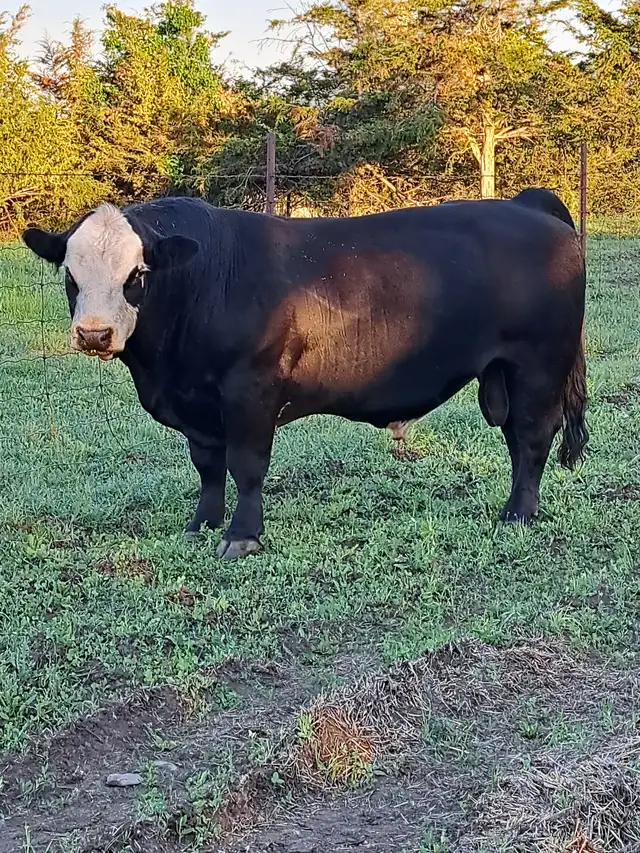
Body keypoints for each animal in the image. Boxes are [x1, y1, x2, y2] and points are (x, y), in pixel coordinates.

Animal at [22, 188, 588, 560]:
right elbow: (208, 466)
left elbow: (246, 465)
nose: (94, 334)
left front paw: (242, 535)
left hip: (537, 365)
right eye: (70, 275)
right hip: (507, 373)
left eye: (136, 275)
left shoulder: (250, 391)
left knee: (533, 437)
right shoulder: (197, 406)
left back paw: (518, 514)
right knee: (517, 439)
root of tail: (524, 203)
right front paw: (201, 524)